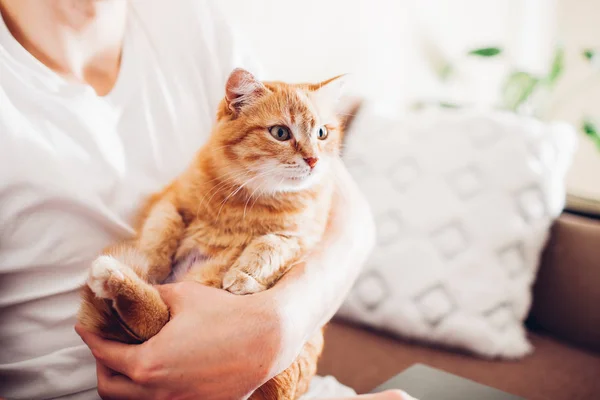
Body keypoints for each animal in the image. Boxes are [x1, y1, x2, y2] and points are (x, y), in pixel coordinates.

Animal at [77, 69, 344, 400]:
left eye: (321, 133)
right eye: (281, 133)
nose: (313, 160)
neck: (250, 200)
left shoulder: (301, 238)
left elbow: (269, 246)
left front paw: (243, 276)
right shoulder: (171, 199)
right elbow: (161, 231)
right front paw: (152, 263)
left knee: (154, 320)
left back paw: (113, 278)